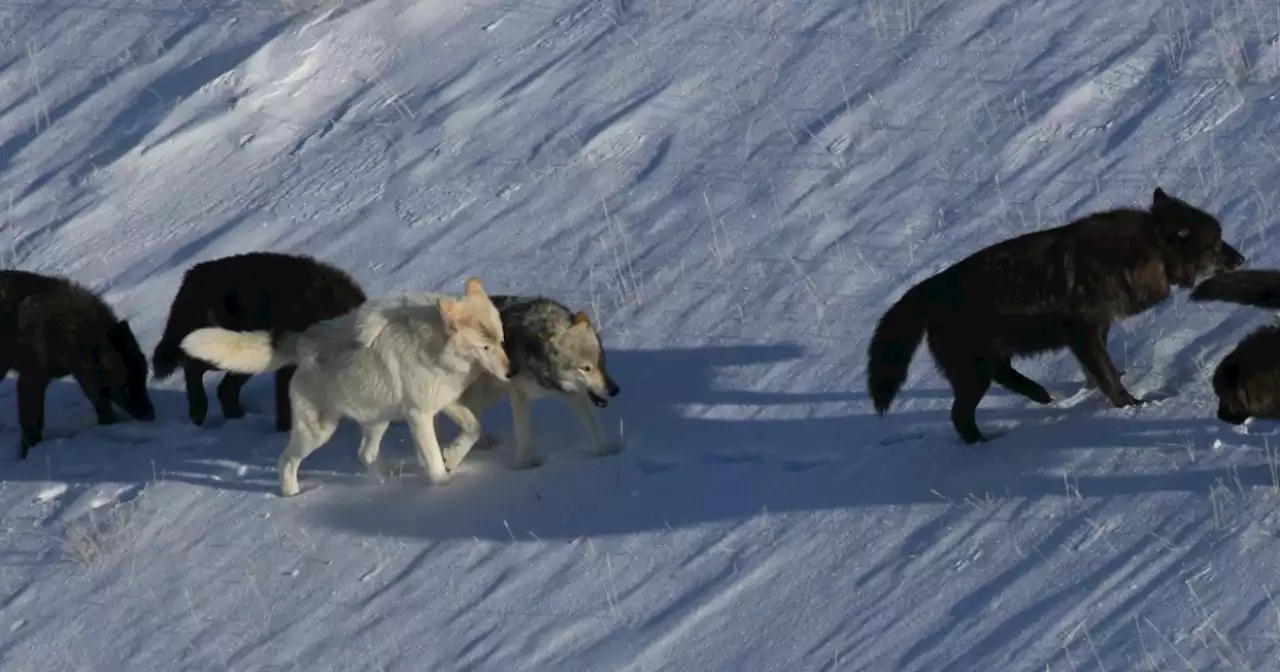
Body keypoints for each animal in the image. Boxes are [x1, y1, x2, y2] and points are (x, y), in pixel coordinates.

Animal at [0, 270, 156, 458]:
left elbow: (104, 410)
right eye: (125, 387)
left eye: (143, 380)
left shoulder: (84, 378)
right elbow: (32, 426)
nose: (151, 415)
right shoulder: (31, 380)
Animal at [153, 249, 371, 430]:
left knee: (224, 390)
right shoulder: (290, 366)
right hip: (218, 349)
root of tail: (192, 273)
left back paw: (237, 419)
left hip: (246, 360)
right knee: (193, 368)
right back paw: (199, 411)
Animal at [176, 275, 514, 494]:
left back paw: (388, 474)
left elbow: (473, 429)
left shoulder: (445, 402)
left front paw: (453, 455)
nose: (511, 372)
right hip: (319, 433)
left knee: (365, 454)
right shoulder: (419, 416)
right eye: (485, 347)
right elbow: (433, 460)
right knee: (286, 461)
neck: (432, 344)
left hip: (378, 420)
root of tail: (301, 341)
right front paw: (443, 487)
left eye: (501, 340)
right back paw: (294, 497)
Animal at [424, 295, 624, 468]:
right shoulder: (519, 395)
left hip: (492, 393)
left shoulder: (572, 393)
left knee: (471, 414)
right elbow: (523, 433)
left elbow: (593, 425)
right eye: (585, 368)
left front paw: (608, 451)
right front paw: (526, 466)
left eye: (601, 361)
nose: (615, 390)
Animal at [865, 185, 1244, 442]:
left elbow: (1098, 372)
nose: (1241, 259)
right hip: (976, 372)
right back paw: (986, 444)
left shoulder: (1093, 332)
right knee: (959, 416)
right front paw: (1131, 406)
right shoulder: (1084, 332)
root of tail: (929, 286)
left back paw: (1041, 396)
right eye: (1216, 245)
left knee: (1003, 380)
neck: (1135, 255)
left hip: (987, 362)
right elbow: (1108, 376)